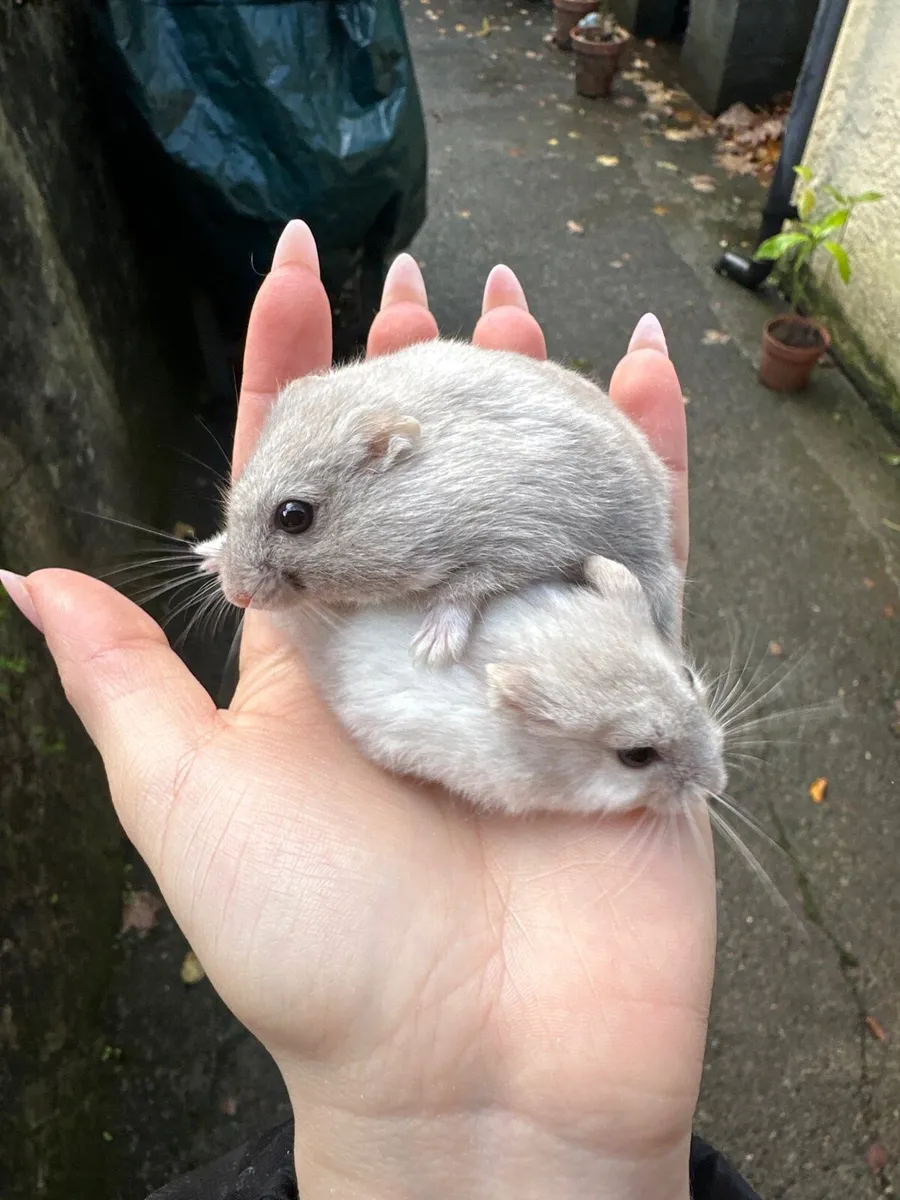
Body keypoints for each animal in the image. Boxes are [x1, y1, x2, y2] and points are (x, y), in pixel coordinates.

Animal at [196, 339, 681, 667]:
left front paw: (430, 650)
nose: (237, 596)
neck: (419, 495)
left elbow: (464, 589)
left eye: (293, 517)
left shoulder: (524, 540)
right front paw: (207, 554)